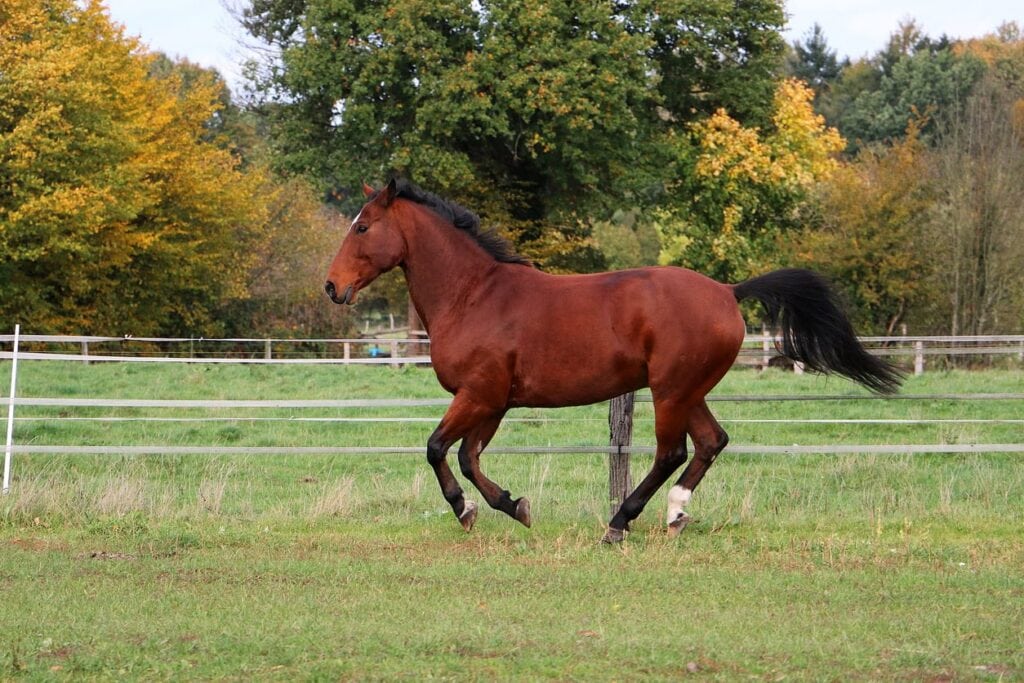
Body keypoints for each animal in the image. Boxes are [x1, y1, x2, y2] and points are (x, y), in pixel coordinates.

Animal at [325, 179, 902, 543]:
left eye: (362, 227)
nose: (332, 287)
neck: (473, 295)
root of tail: (727, 291)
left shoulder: (479, 395)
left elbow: (437, 448)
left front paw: (470, 510)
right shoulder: (494, 402)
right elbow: (468, 457)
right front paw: (510, 506)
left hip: (669, 390)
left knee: (671, 452)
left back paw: (619, 523)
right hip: (688, 390)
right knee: (710, 442)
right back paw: (675, 514)